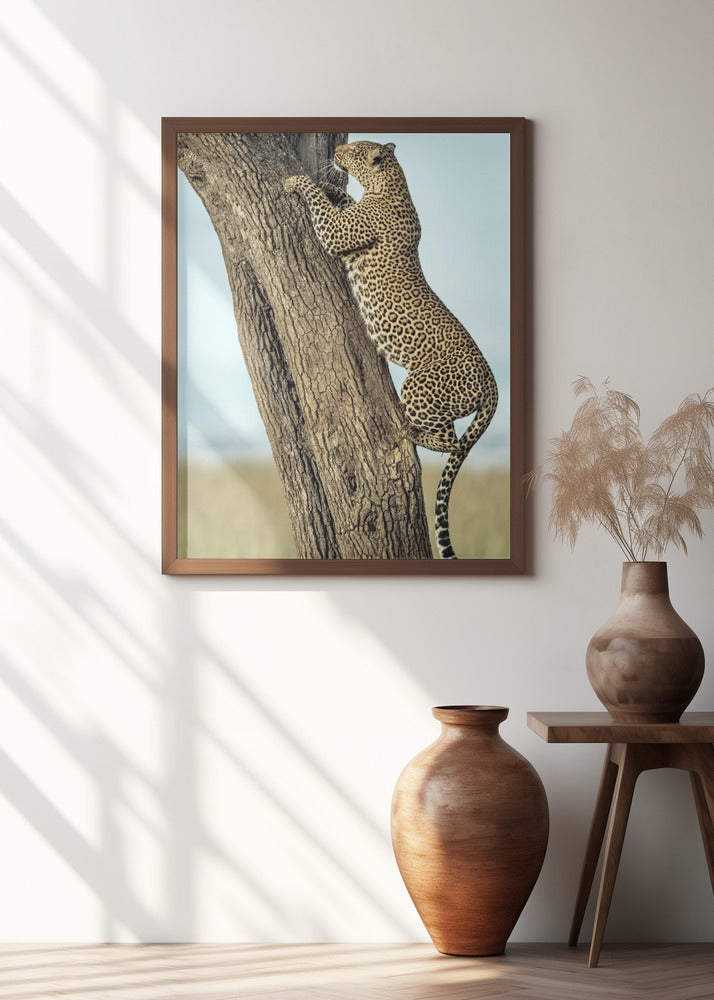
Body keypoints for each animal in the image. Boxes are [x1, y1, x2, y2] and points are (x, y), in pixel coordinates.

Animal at [284, 139, 498, 559]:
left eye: (352, 150)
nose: (337, 149)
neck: (390, 185)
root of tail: (493, 381)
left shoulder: (337, 233)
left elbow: (319, 204)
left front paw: (298, 182)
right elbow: (342, 200)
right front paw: (333, 188)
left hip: (420, 385)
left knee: (449, 439)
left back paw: (409, 431)